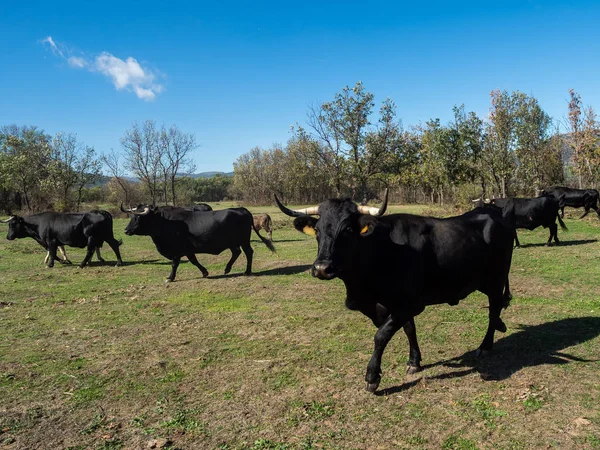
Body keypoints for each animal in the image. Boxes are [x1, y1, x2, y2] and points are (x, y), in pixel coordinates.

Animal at [122, 205, 276, 282]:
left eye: (138, 218)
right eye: (131, 217)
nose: (126, 230)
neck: (166, 222)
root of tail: (242, 209)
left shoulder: (176, 251)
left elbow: (174, 264)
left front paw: (170, 278)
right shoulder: (188, 250)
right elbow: (194, 261)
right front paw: (204, 272)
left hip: (243, 241)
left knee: (248, 252)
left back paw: (247, 271)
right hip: (233, 243)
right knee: (236, 253)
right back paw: (227, 269)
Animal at [274, 191, 512, 394]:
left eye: (348, 230)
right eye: (318, 231)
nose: (322, 268)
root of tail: (493, 213)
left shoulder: (410, 303)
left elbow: (381, 336)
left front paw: (372, 377)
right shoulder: (396, 305)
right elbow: (409, 329)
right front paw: (414, 362)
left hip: (497, 278)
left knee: (494, 308)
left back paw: (485, 346)